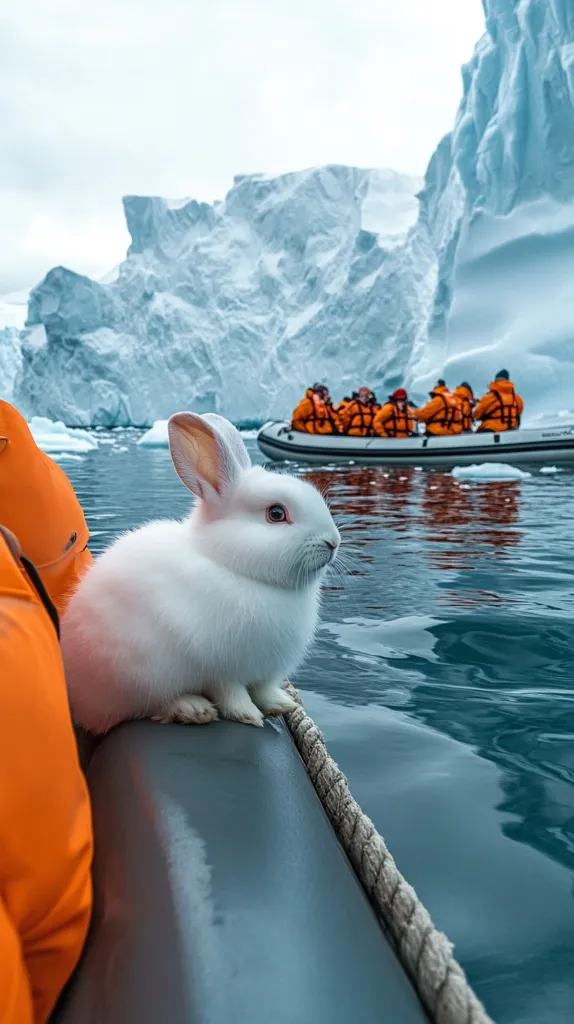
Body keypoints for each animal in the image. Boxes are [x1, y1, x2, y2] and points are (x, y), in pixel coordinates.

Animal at [61, 411, 340, 733]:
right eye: (276, 514)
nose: (333, 542)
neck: (231, 566)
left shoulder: (264, 669)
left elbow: (263, 689)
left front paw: (281, 705)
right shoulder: (220, 666)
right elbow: (231, 693)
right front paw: (248, 715)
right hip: (140, 675)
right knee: (148, 705)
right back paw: (193, 709)